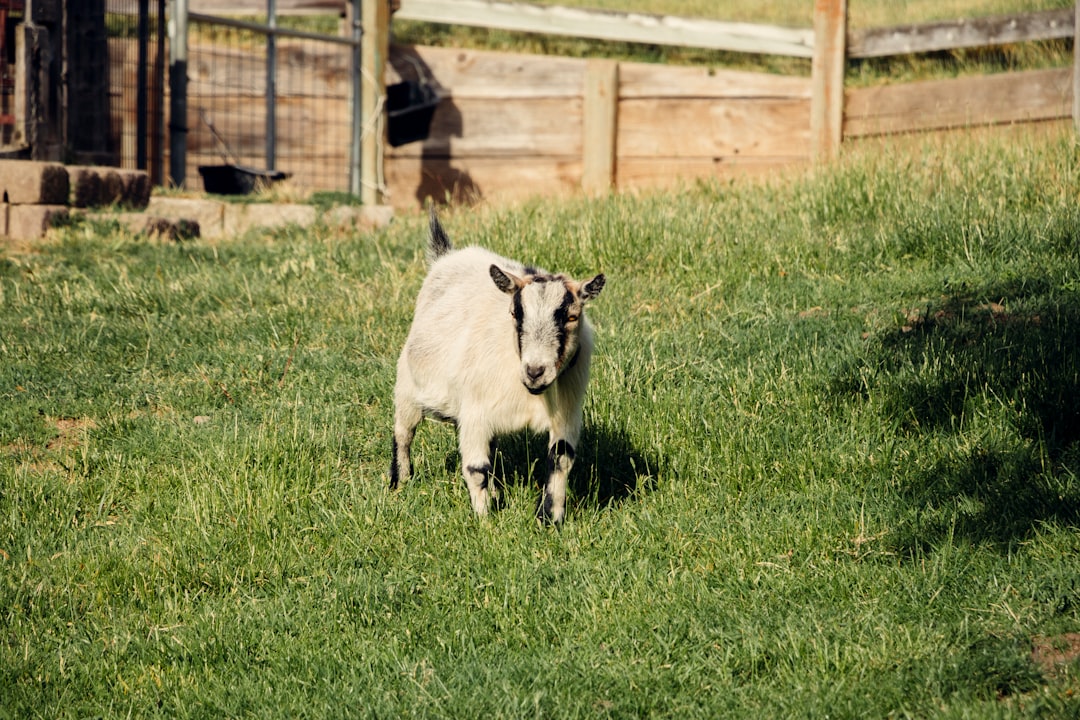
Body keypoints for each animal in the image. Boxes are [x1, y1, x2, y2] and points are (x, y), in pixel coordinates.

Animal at [390, 208, 609, 524]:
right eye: (515, 313)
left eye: (571, 316)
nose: (535, 371)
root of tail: (447, 255)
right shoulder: (474, 412)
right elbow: (475, 468)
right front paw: (486, 522)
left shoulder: (567, 412)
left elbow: (560, 458)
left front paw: (550, 519)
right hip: (407, 384)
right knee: (404, 432)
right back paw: (401, 482)